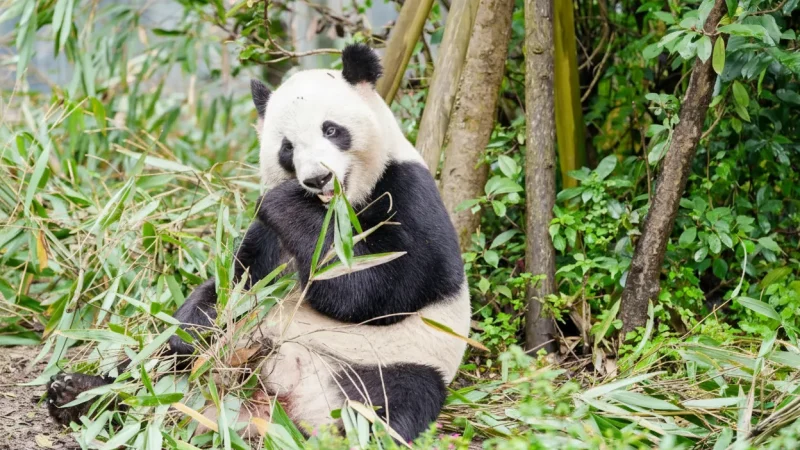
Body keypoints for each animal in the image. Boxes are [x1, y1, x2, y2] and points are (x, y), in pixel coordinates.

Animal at [46, 43, 470, 443]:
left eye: (331, 130)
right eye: (287, 147)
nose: (317, 178)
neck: (333, 210)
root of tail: (276, 403)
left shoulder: (407, 192)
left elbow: (381, 288)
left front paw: (289, 204)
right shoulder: (268, 240)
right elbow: (235, 283)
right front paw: (194, 326)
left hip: (386, 363)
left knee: (397, 400)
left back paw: (347, 435)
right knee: (153, 370)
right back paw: (77, 393)